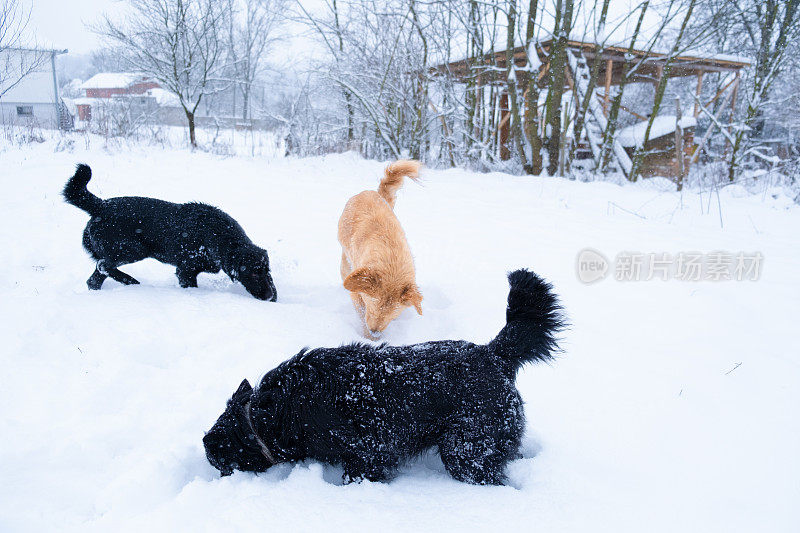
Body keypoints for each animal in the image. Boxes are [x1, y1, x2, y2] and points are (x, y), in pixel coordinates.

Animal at [61, 163, 278, 300]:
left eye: (267, 271)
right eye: (253, 273)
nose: (270, 297)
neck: (217, 237)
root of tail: (101, 206)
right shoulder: (186, 270)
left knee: (94, 279)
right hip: (133, 249)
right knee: (103, 265)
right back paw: (132, 282)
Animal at [202, 268, 564, 484]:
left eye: (218, 461)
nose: (216, 475)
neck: (270, 414)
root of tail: (494, 354)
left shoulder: (368, 454)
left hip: (467, 451)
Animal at [338, 160, 424, 338]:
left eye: (392, 316)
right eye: (372, 308)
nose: (376, 333)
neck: (391, 258)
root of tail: (372, 193)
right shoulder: (356, 291)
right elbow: (360, 311)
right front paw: (367, 338)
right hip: (344, 260)